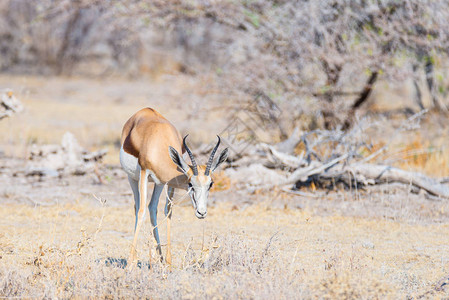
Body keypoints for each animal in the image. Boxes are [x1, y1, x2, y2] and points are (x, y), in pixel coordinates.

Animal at [119, 107, 228, 264]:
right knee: (138, 206)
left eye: (210, 184)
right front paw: (130, 263)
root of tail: (145, 110)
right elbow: (141, 212)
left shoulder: (169, 182)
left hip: (159, 183)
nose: (201, 212)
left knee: (152, 208)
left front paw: (168, 262)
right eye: (190, 183)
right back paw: (136, 258)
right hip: (132, 178)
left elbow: (168, 211)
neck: (158, 141)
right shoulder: (144, 173)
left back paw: (158, 257)